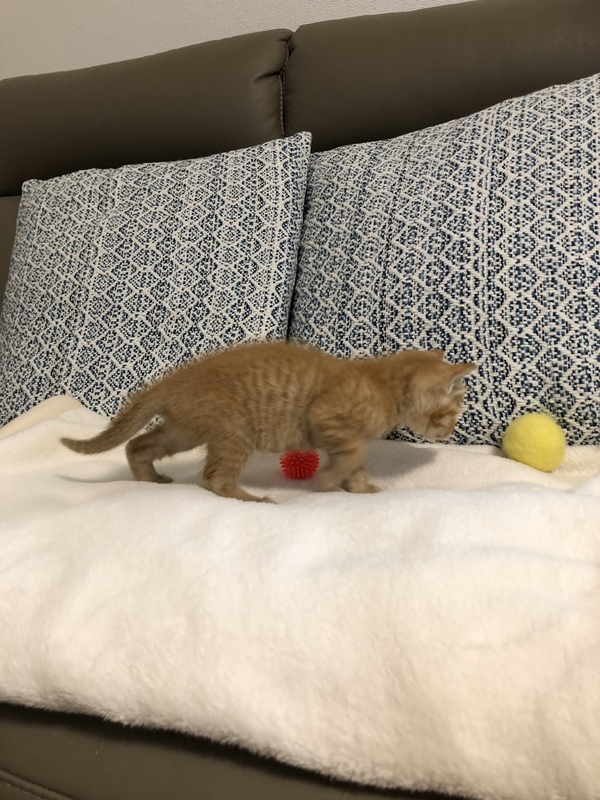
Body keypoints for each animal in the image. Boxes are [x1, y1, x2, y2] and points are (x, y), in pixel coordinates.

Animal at [61, 341, 476, 503]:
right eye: (454, 411)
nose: (450, 431)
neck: (381, 383)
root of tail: (173, 380)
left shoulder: (340, 436)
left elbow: (355, 463)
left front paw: (360, 489)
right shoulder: (327, 418)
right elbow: (352, 456)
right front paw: (328, 482)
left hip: (185, 430)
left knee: (138, 444)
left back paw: (149, 480)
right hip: (233, 432)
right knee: (214, 479)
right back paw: (251, 498)